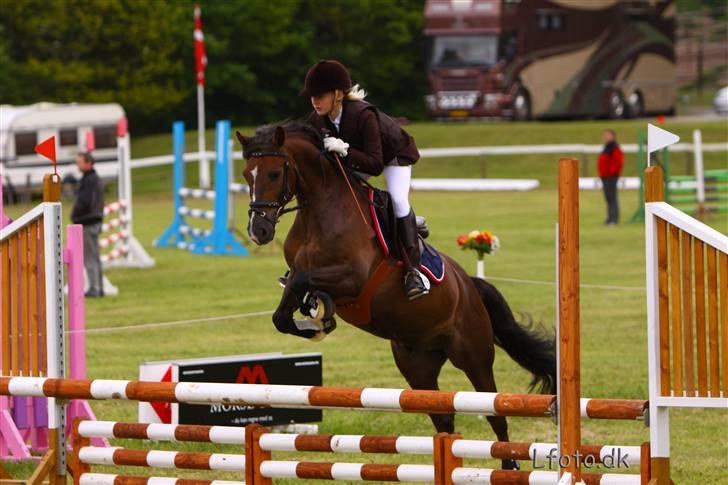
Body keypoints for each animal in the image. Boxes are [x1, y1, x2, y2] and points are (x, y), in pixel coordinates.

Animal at [236, 122, 556, 468]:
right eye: (246, 174)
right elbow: (283, 311)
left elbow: (302, 283)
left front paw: (321, 318)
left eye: (273, 174)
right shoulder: (298, 274)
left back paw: (508, 465)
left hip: (473, 355)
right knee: (444, 418)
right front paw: (317, 319)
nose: (258, 232)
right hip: (418, 367)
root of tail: (470, 285)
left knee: (494, 411)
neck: (319, 212)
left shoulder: (353, 278)